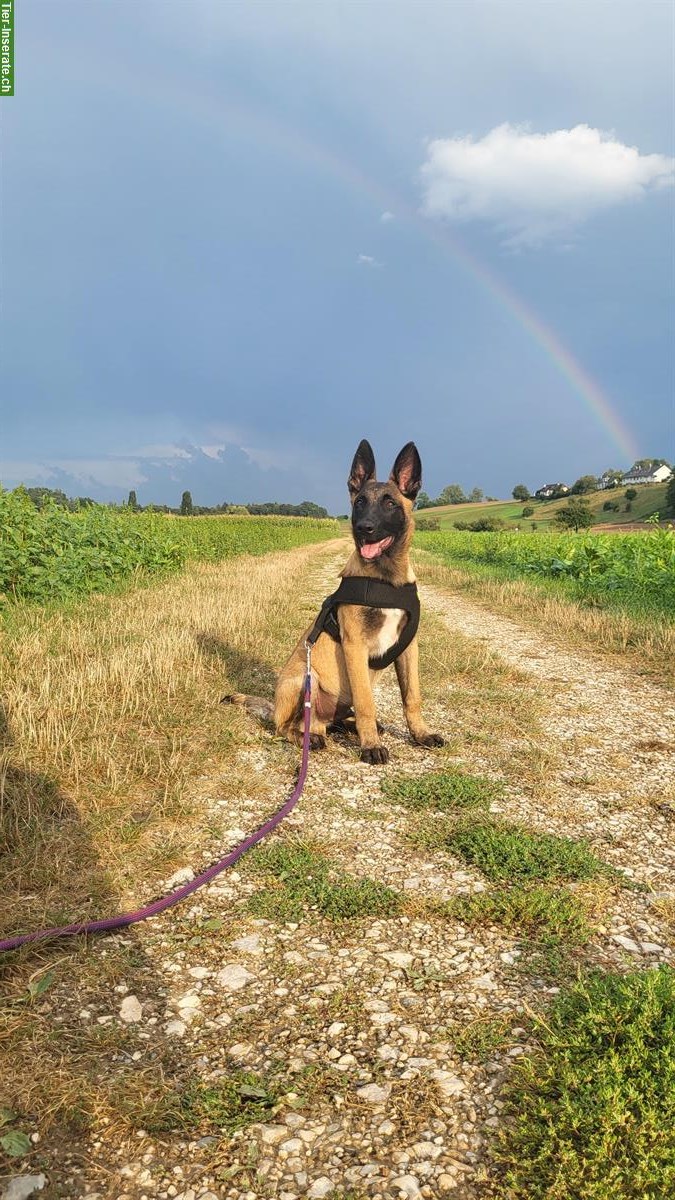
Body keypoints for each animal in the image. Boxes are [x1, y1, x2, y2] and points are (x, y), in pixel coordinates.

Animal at [223, 444, 444, 768]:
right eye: (360, 502)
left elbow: (411, 696)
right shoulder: (355, 646)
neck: (385, 578)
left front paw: (421, 734)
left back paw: (346, 727)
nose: (364, 528)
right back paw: (310, 736)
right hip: (305, 680)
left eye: (390, 503)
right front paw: (371, 746)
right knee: (286, 727)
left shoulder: (409, 647)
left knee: (330, 722)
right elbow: (366, 704)